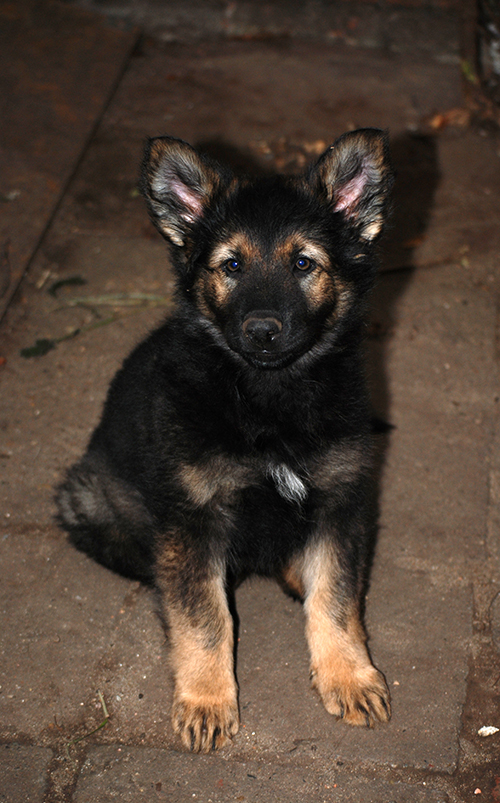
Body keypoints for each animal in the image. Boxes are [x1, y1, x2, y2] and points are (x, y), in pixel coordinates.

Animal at [56, 128, 394, 753]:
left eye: (304, 263)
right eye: (232, 265)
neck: (267, 395)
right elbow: (205, 618)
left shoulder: (341, 500)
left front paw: (349, 676)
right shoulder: (193, 517)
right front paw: (207, 699)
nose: (262, 330)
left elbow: (336, 597)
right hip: (88, 499)